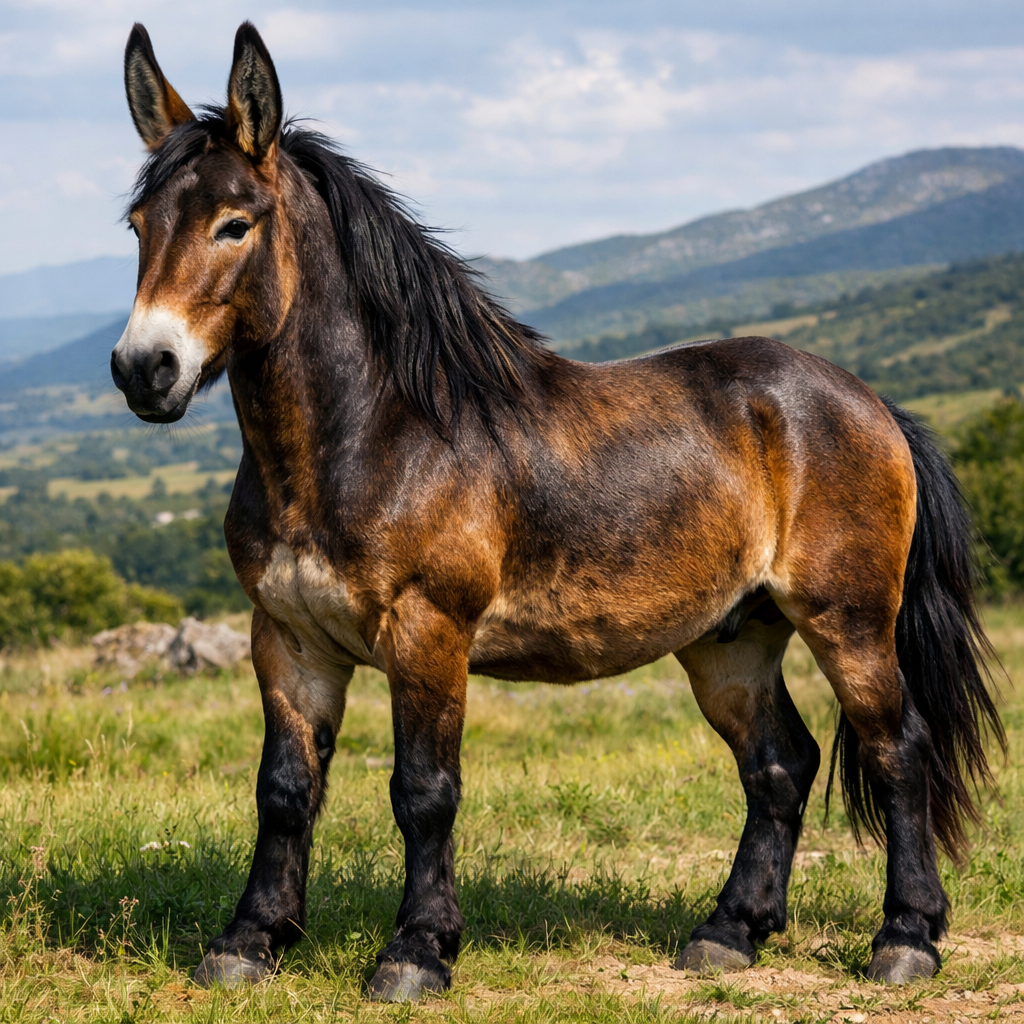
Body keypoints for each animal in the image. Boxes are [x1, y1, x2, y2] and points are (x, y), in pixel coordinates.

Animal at [112, 22, 1003, 1001]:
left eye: (235, 224)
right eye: (140, 226)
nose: (144, 369)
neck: (376, 434)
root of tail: (870, 403)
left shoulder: (429, 633)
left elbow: (424, 791)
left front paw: (417, 952)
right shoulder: (288, 639)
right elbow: (284, 789)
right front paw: (250, 941)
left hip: (848, 621)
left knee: (897, 748)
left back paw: (906, 938)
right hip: (732, 638)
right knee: (779, 766)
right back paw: (729, 932)